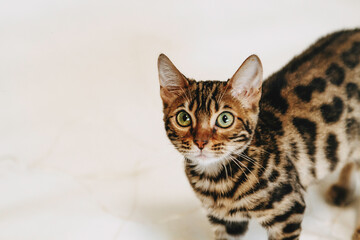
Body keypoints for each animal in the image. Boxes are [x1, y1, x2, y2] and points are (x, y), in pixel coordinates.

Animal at [158, 29, 360, 240]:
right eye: (183, 118)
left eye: (224, 119)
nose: (200, 142)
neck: (216, 181)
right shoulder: (226, 221)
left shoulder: (288, 211)